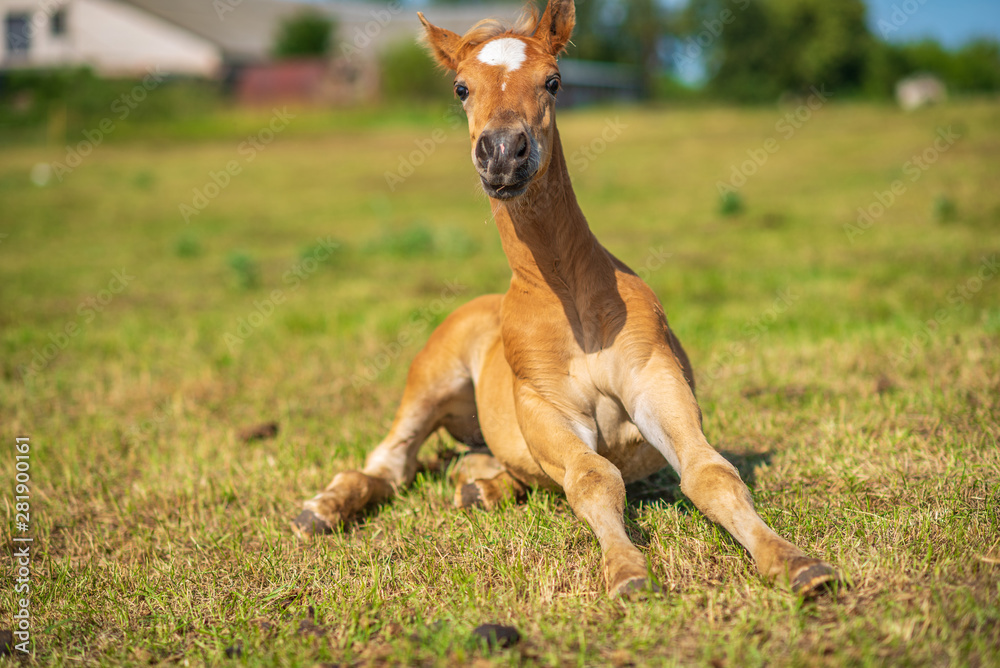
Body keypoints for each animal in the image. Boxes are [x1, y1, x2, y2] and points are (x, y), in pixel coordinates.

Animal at [292, 0, 840, 596]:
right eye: (461, 88)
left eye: (553, 81)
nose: (502, 154)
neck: (569, 301)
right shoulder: (546, 406)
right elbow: (592, 476)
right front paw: (627, 572)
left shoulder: (655, 379)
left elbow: (711, 472)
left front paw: (795, 561)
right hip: (430, 380)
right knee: (388, 465)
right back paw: (320, 510)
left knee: (464, 465)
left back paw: (480, 487)